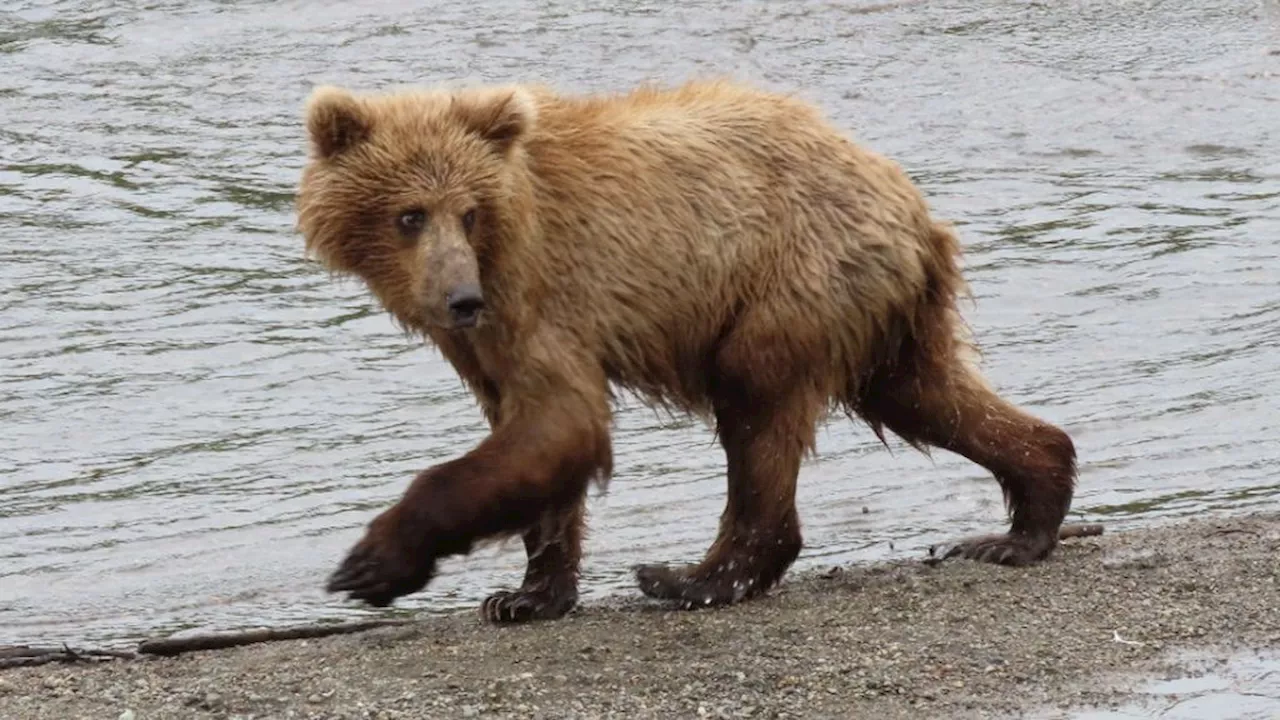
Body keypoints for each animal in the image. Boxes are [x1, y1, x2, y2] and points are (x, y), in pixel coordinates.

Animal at [294, 77, 1075, 617]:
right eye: (409, 214)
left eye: (469, 211)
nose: (460, 298)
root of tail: (913, 203)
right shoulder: (489, 337)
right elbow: (530, 437)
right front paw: (525, 596)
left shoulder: (540, 291)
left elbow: (560, 423)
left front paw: (372, 563)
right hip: (879, 310)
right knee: (927, 394)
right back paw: (1021, 520)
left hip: (788, 282)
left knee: (757, 408)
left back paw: (692, 577)